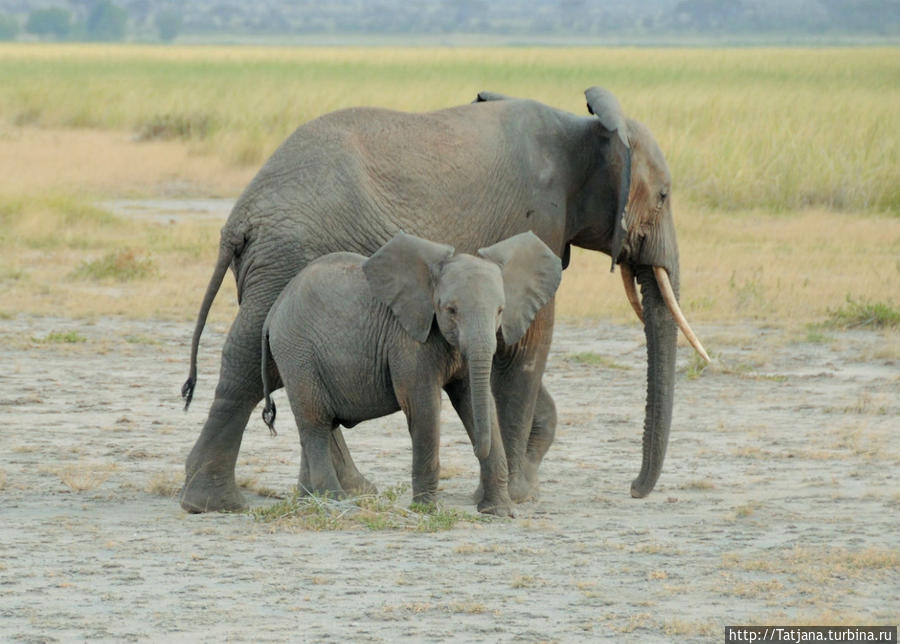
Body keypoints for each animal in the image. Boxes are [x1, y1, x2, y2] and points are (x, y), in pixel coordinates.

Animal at [258, 230, 564, 512]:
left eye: (500, 311)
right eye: (450, 310)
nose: (475, 449)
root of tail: (274, 311)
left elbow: (476, 402)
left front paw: (498, 512)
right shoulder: (408, 340)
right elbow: (423, 406)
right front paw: (426, 510)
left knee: (313, 426)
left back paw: (307, 501)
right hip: (297, 352)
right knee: (316, 423)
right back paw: (334, 502)